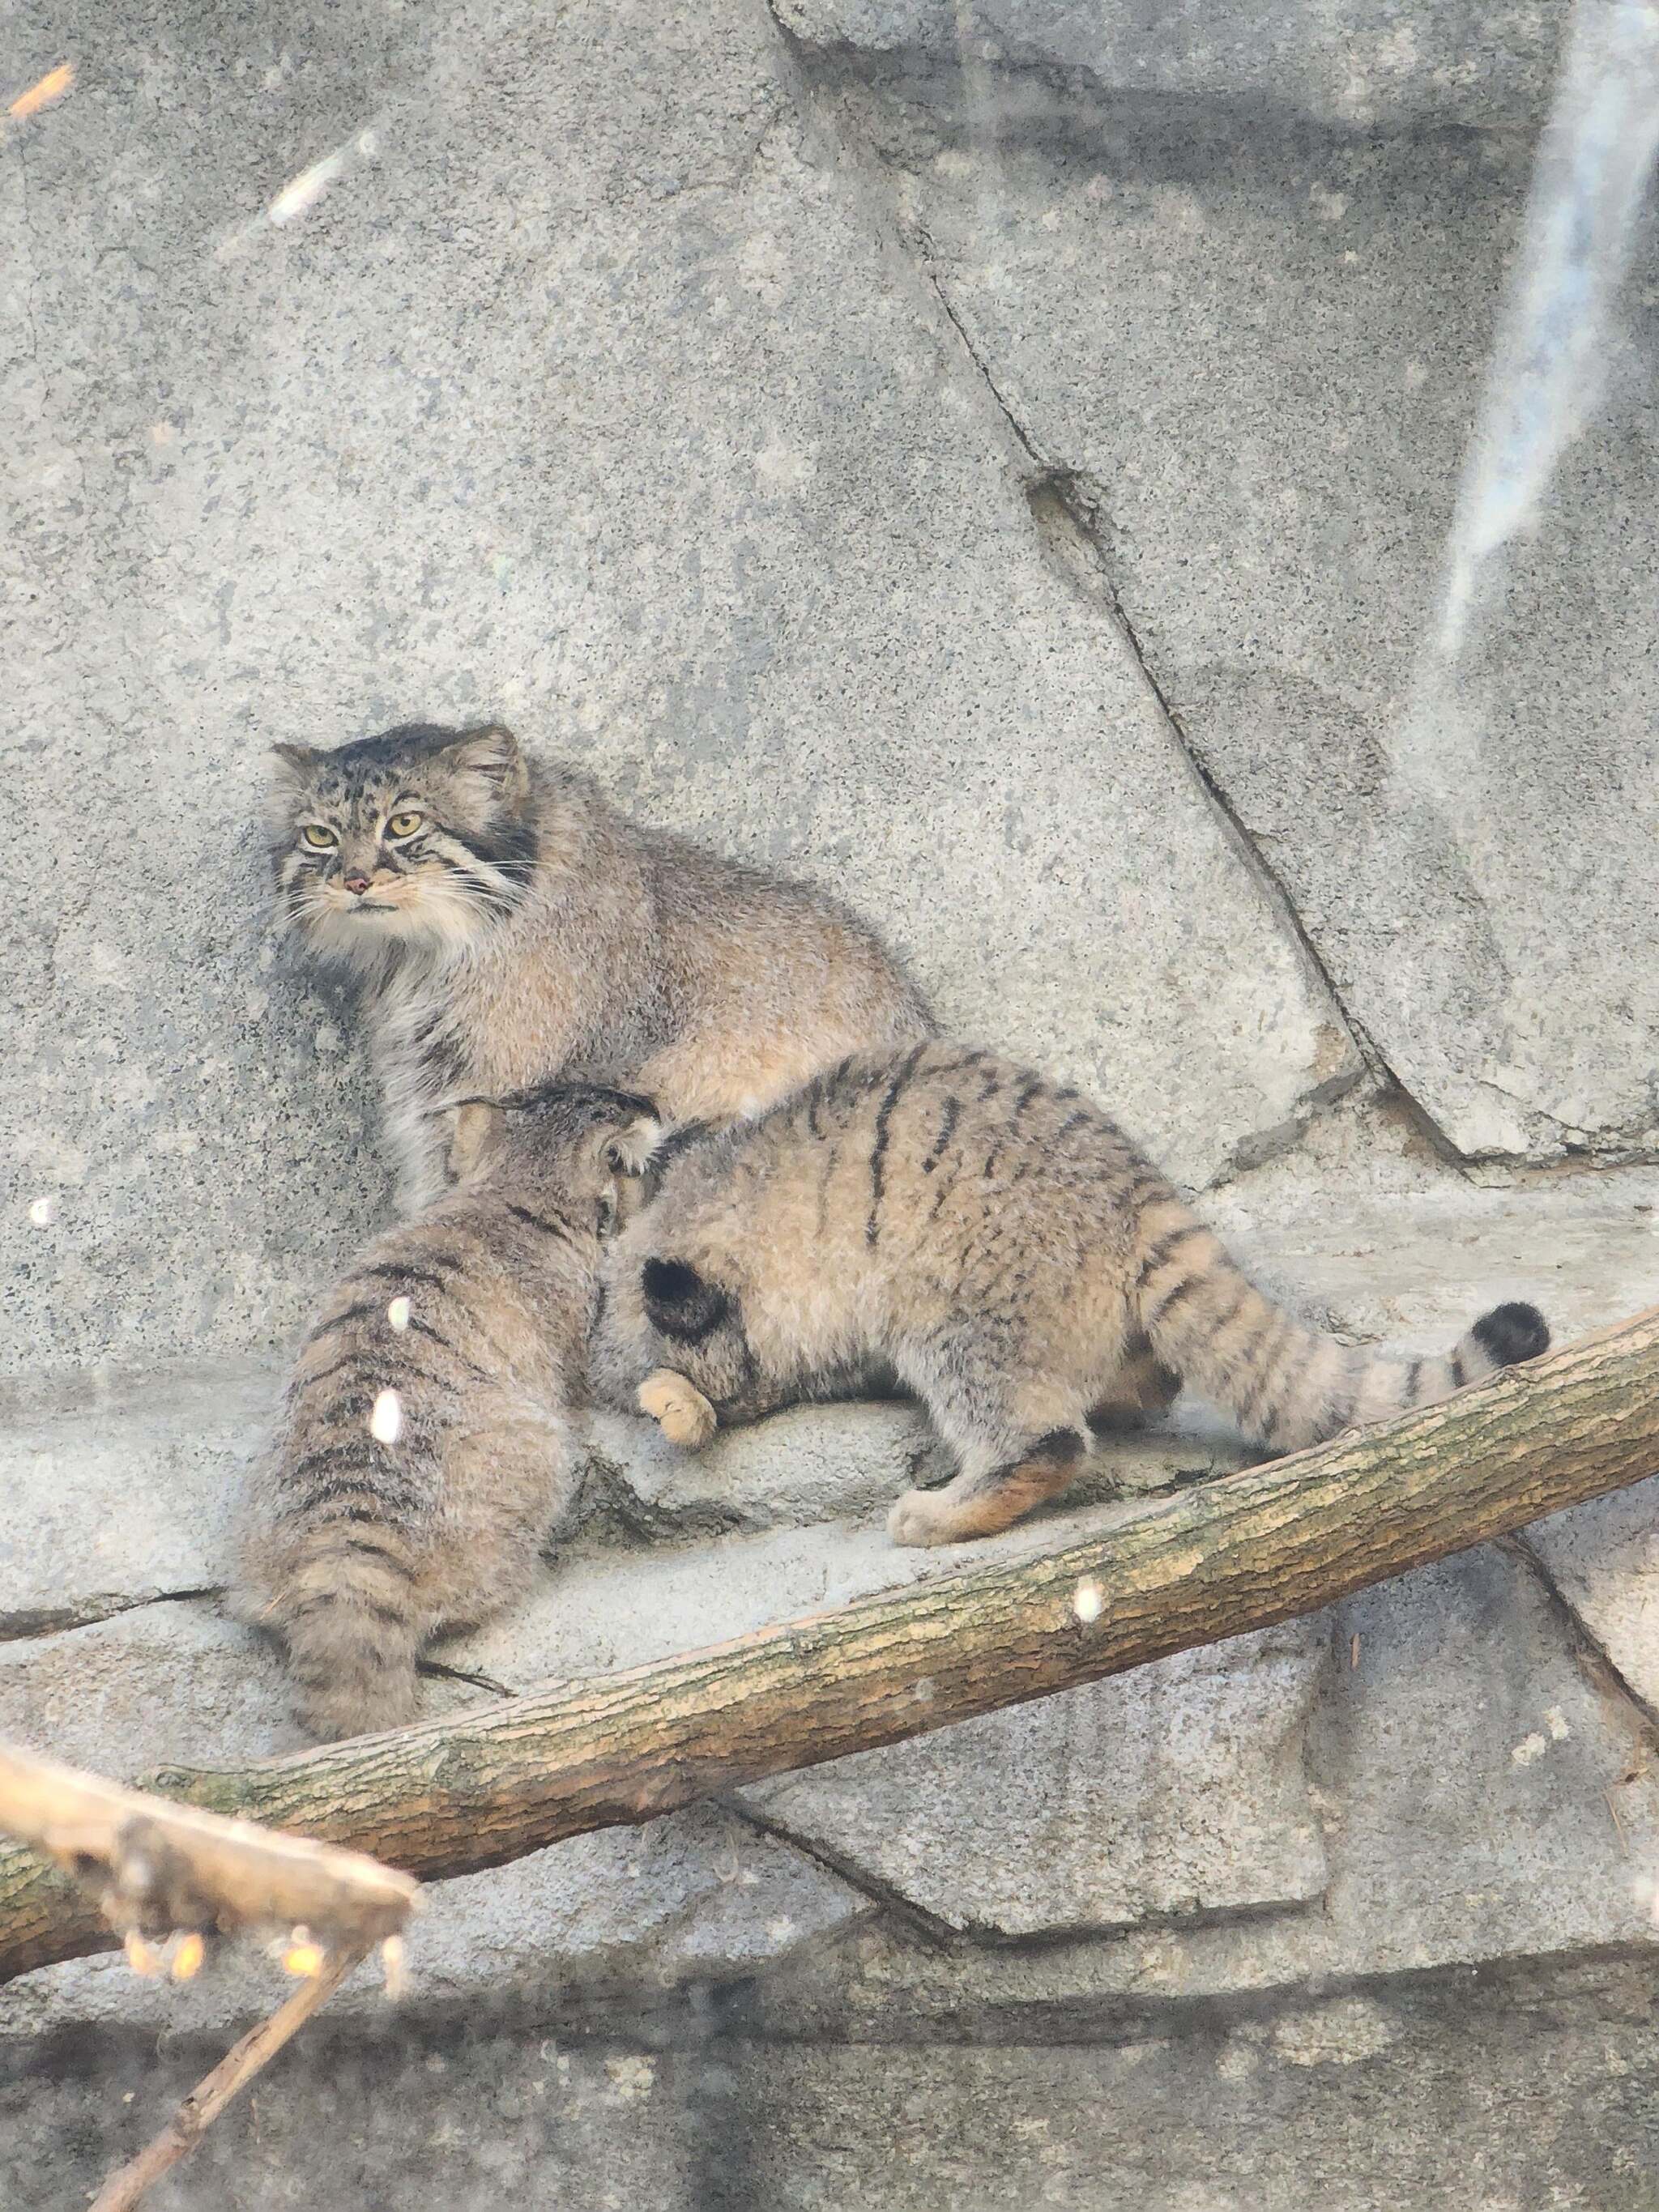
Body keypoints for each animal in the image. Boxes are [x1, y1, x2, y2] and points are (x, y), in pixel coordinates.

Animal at [592, 1044, 1557, 1548]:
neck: (727, 1191)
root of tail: (1137, 1190)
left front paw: (678, 1401)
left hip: (960, 1316)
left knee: (1045, 1439)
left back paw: (945, 1510)